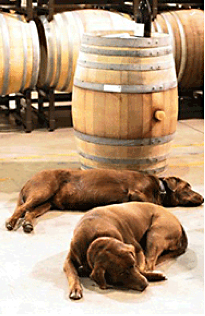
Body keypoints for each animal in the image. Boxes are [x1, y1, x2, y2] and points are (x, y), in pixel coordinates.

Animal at [5, 168, 203, 232]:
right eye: (188, 187)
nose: (202, 197)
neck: (159, 188)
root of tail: (27, 181)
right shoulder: (136, 192)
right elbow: (149, 202)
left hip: (46, 204)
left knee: (29, 212)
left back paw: (27, 224)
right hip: (43, 190)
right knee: (21, 209)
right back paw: (11, 222)